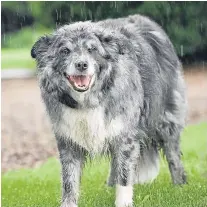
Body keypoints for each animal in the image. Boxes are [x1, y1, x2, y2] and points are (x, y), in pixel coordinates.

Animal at [31, 14, 188, 207]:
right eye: (65, 51)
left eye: (92, 49)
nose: (81, 64)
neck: (88, 101)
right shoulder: (68, 140)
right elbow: (69, 180)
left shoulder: (125, 135)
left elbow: (125, 175)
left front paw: (123, 202)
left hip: (166, 120)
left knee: (173, 156)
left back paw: (180, 186)